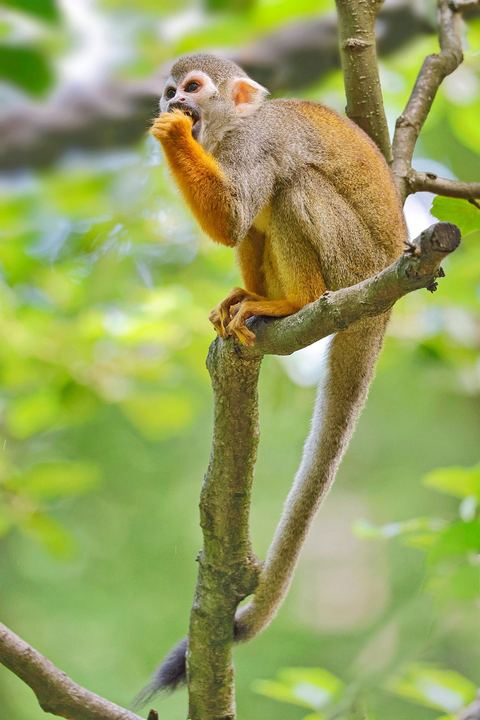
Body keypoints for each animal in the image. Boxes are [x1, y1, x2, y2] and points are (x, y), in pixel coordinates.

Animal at [137, 52, 406, 703]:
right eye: (169, 89)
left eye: (192, 88)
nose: (171, 103)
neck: (229, 129)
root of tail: (382, 302)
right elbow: (239, 224)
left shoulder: (255, 143)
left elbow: (236, 215)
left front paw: (175, 138)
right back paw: (258, 300)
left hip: (353, 261)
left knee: (289, 187)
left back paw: (297, 300)